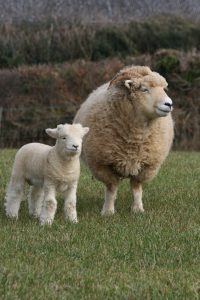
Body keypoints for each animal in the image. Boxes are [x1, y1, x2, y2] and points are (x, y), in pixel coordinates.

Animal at [73, 66, 173, 216]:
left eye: (163, 88)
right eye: (144, 89)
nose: (169, 104)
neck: (135, 139)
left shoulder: (147, 165)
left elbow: (136, 188)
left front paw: (137, 210)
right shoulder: (102, 165)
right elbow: (111, 188)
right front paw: (108, 211)